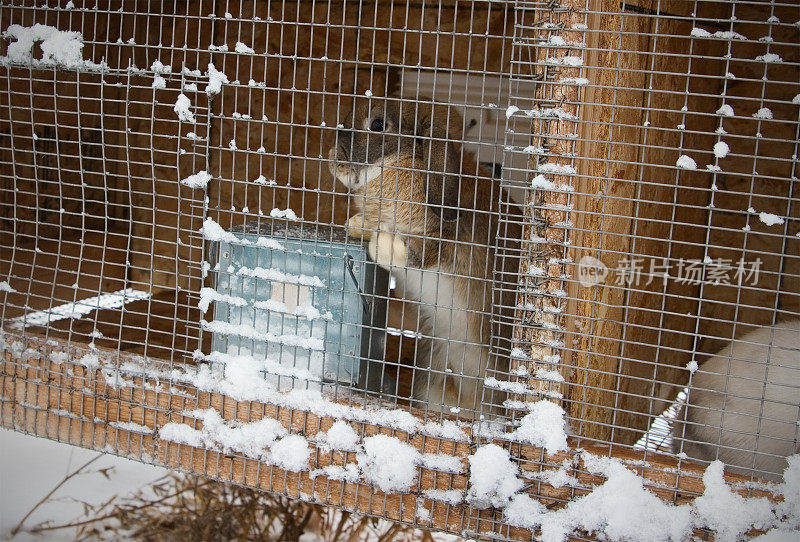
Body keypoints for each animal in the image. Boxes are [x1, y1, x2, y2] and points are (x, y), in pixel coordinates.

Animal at [326, 96, 510, 416]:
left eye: (378, 125)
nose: (334, 152)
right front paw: (358, 224)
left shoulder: (446, 242)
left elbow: (414, 252)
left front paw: (384, 241)